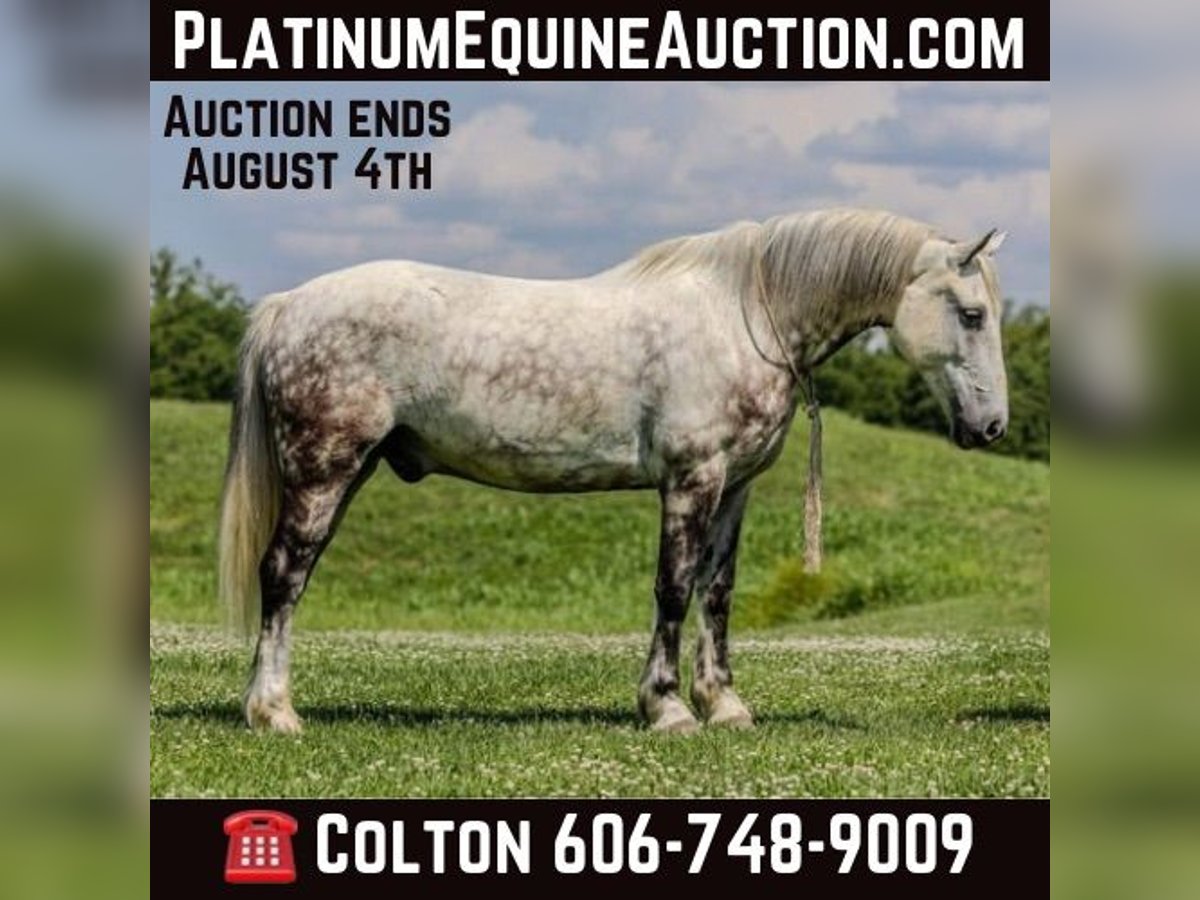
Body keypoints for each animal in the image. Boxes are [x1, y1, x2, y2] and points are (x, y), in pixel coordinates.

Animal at [219, 208, 1009, 734]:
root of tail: (287, 306)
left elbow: (717, 593)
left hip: (348, 472)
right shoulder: (691, 479)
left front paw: (724, 704)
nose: (992, 426)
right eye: (971, 314)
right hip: (325, 470)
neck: (745, 315)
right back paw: (275, 712)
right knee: (283, 575)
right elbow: (673, 588)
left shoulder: (735, 487)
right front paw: (667, 708)